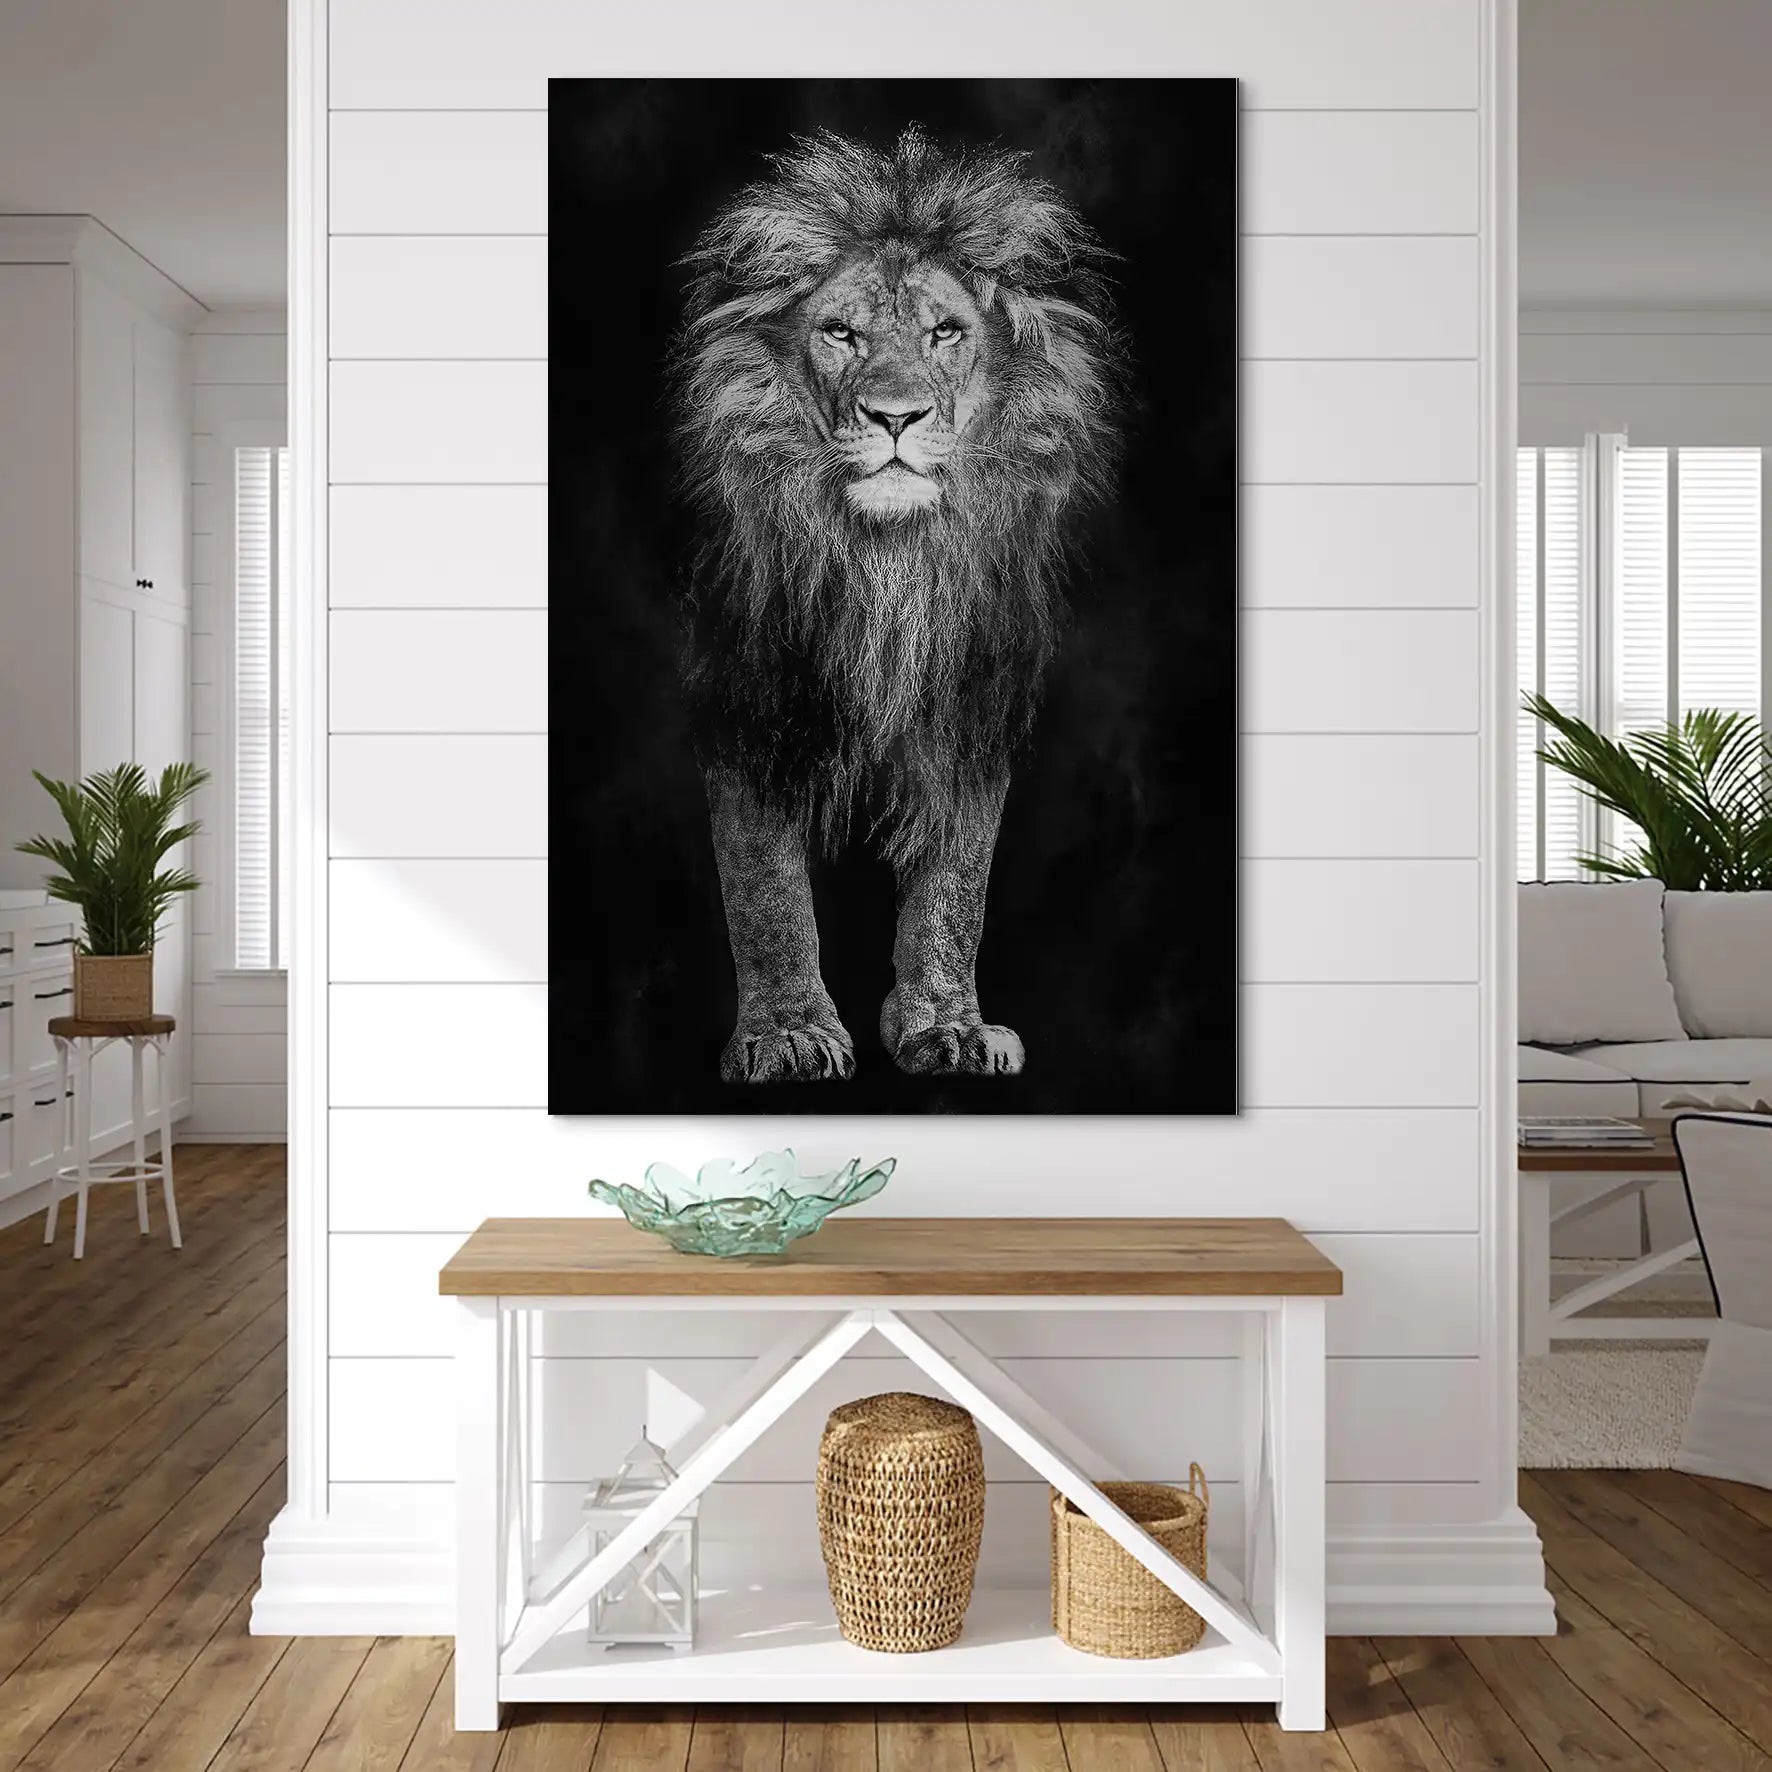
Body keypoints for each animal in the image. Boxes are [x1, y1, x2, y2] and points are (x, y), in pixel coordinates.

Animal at [670, 124, 1125, 1085]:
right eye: (841, 333)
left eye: (944, 332)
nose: (895, 417)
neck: (889, 563)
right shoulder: (748, 689)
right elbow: (762, 881)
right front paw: (788, 1033)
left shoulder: (973, 694)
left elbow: (958, 883)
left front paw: (945, 1026)